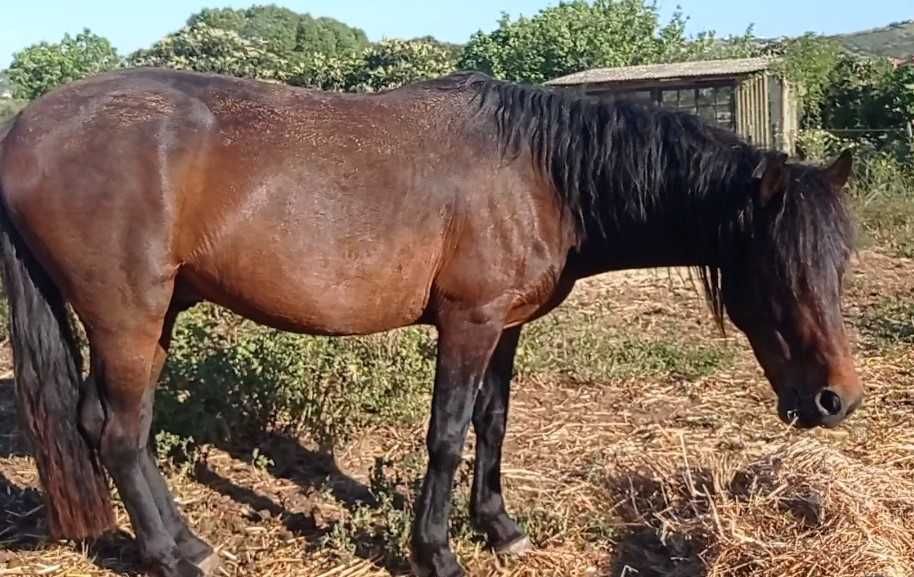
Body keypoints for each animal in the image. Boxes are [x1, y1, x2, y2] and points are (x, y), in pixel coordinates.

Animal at [0, 68, 860, 577]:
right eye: (781, 269)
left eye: (842, 264)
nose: (836, 400)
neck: (539, 172)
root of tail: (26, 127)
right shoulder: (467, 321)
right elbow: (446, 435)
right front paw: (437, 549)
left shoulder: (506, 325)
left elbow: (492, 424)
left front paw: (500, 526)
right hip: (127, 316)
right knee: (121, 433)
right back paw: (175, 555)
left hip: (153, 317)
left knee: (105, 426)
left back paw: (172, 541)